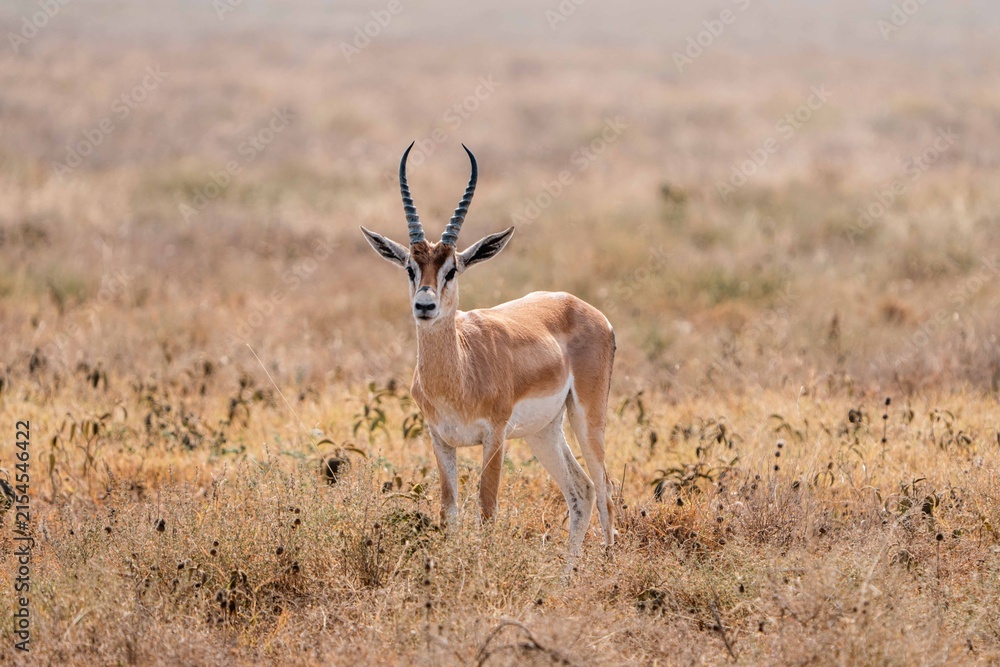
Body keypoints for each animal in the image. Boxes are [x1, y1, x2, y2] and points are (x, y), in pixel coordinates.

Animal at [360, 143, 616, 555]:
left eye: (452, 269)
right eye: (410, 268)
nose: (424, 306)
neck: (459, 373)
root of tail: (582, 306)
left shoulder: (494, 436)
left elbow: (487, 509)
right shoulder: (440, 439)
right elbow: (449, 511)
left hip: (587, 418)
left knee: (605, 489)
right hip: (544, 431)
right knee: (583, 491)